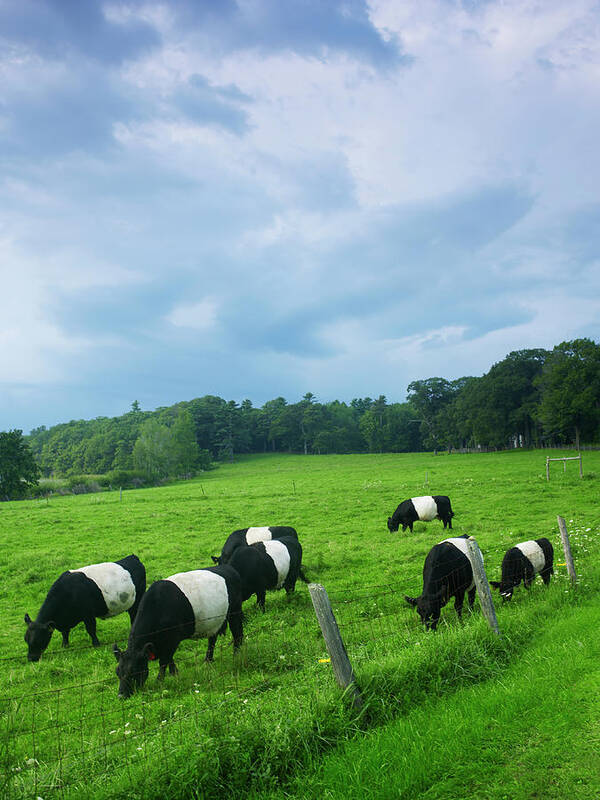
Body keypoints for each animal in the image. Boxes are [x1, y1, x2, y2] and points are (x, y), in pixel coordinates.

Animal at [112, 564, 244, 700]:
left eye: (134, 671)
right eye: (118, 672)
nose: (121, 695)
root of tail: (228, 568)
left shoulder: (173, 639)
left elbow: (164, 660)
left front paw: (159, 680)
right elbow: (169, 658)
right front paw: (174, 673)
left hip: (235, 611)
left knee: (237, 633)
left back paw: (236, 655)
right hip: (213, 621)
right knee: (212, 639)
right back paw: (208, 660)